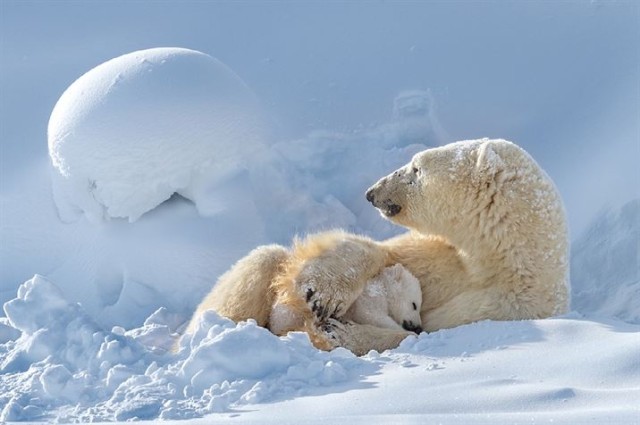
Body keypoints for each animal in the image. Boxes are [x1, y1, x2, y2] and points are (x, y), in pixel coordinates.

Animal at [188, 139, 568, 354]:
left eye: (416, 168)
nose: (372, 193)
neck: (499, 260)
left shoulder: (509, 308)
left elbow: (422, 333)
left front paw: (338, 332)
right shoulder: (441, 257)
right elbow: (385, 254)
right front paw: (323, 292)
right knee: (264, 259)